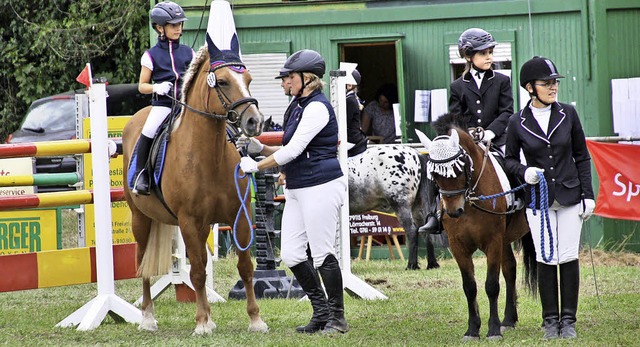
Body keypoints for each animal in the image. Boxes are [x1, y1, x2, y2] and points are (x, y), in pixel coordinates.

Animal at [122, 36, 268, 336]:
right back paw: (147, 317)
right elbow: (198, 271)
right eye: (222, 82)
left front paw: (255, 319)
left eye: (248, 78)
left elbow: (245, 267)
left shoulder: (240, 217)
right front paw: (201, 323)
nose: (255, 122)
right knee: (142, 262)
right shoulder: (188, 221)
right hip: (141, 219)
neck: (209, 155)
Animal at [416, 115, 536, 342]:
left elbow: (491, 285)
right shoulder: (458, 246)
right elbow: (469, 287)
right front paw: (472, 330)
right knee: (510, 269)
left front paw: (493, 330)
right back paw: (509, 319)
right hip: (504, 240)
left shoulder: (493, 241)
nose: (453, 211)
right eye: (434, 174)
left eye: (459, 168)